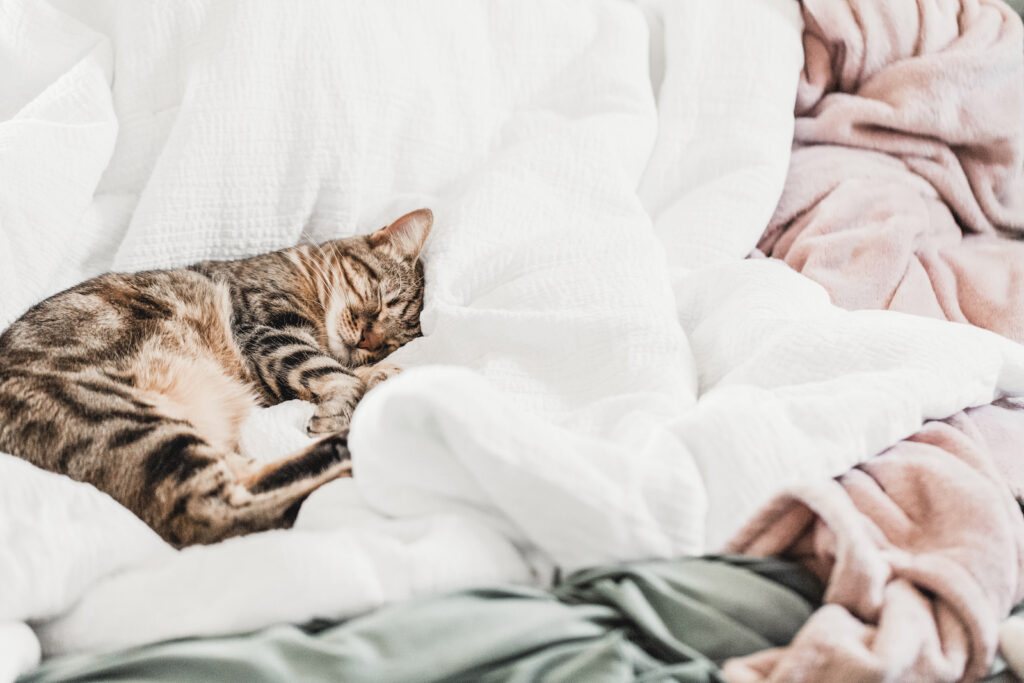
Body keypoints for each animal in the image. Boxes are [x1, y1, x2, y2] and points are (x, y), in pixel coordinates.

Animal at [0, 209, 432, 548]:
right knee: (209, 517)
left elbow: (345, 369)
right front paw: (346, 399)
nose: (367, 341)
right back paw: (344, 452)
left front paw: (381, 372)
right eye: (384, 300)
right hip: (130, 421)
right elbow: (330, 371)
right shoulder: (267, 330)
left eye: (390, 343)